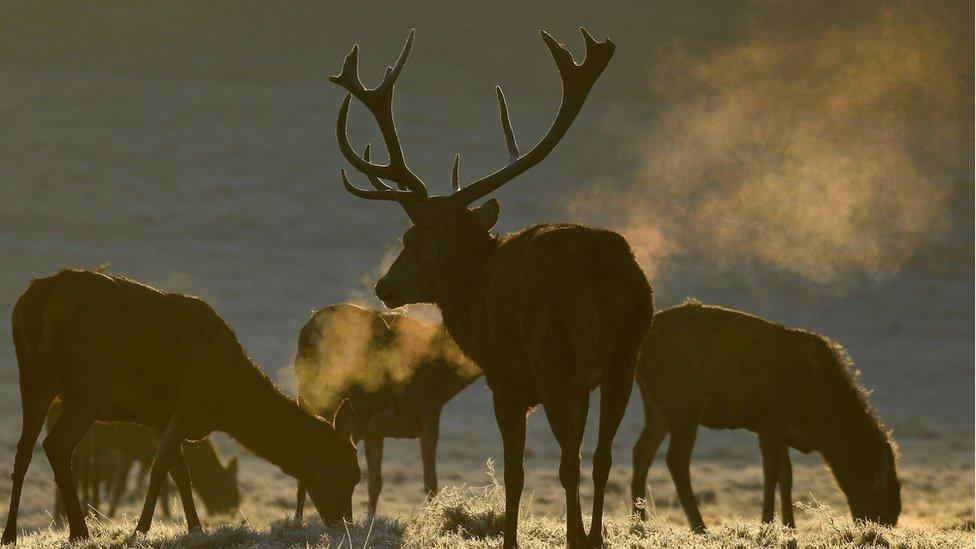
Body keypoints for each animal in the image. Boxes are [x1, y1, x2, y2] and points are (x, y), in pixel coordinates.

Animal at [0, 268, 358, 540]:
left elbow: (180, 472)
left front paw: (195, 528)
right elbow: (161, 467)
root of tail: (34, 301)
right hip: (86, 389)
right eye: (350, 475)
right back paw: (79, 531)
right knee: (55, 445)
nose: (344, 524)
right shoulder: (189, 398)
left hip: (34, 378)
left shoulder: (161, 417)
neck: (225, 401)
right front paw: (141, 530)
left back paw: (13, 533)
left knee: (25, 449)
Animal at [294, 302, 484, 516]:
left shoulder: (375, 431)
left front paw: (370, 520)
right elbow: (430, 480)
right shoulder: (429, 409)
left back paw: (298, 520)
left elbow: (375, 483)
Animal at [328, 27, 656, 544]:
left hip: (555, 361)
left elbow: (515, 469)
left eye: (411, 238)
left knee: (569, 462)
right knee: (601, 457)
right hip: (625, 358)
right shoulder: (585, 381)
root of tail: (603, 271)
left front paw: (511, 538)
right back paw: (594, 537)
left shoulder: (504, 377)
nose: (384, 286)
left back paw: (577, 538)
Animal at [632, 300, 900, 532]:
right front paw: (766, 525)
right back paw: (699, 528)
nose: (883, 526)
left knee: (642, 450)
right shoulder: (769, 421)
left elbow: (786, 475)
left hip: (657, 405)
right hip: (684, 402)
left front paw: (790, 526)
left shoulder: (782, 430)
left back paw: (638, 525)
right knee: (675, 459)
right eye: (884, 500)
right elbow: (771, 473)